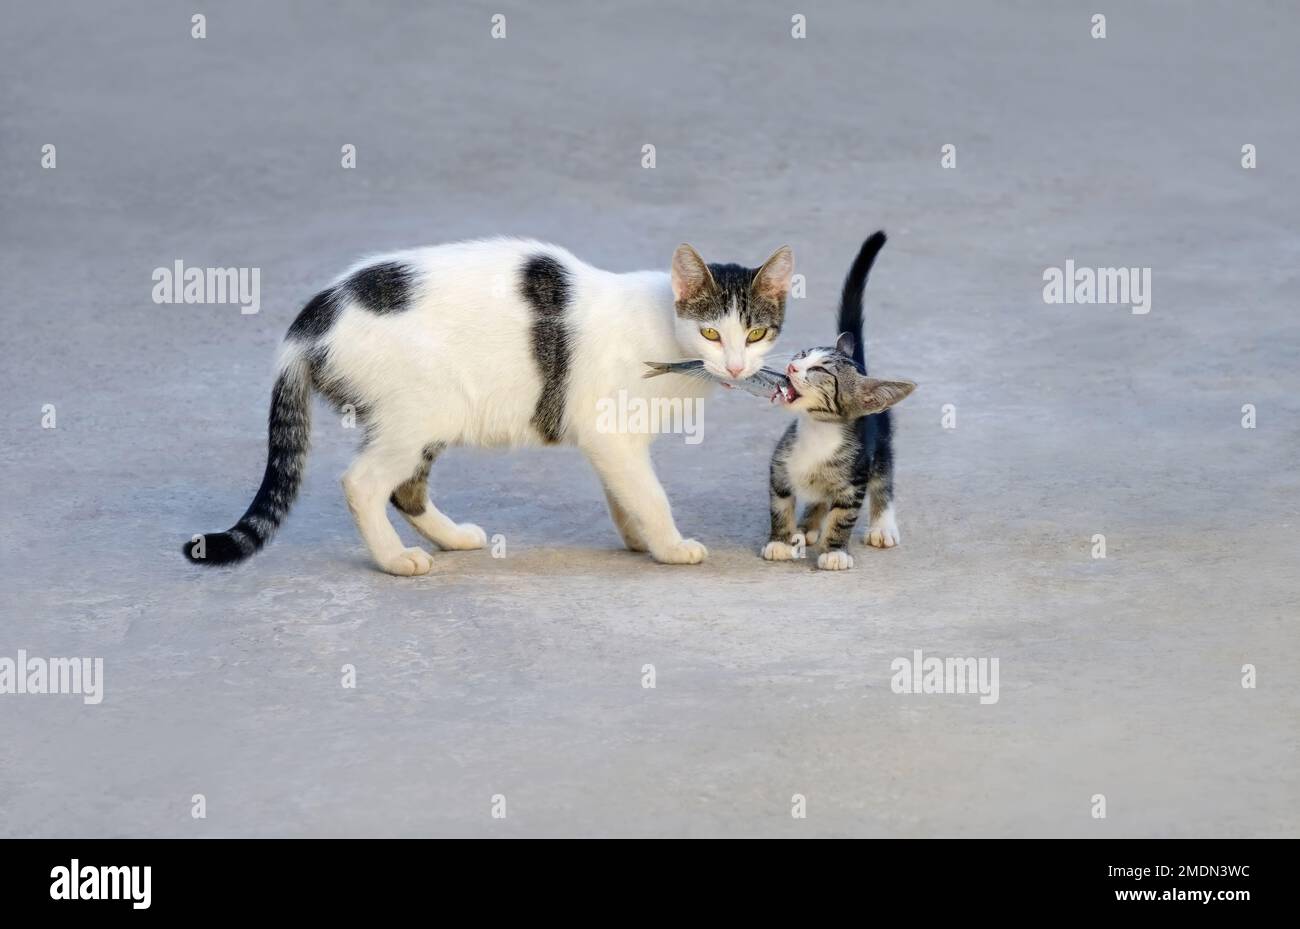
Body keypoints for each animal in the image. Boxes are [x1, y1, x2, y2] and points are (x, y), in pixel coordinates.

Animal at [183, 240, 790, 574]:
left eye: (756, 333)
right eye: (711, 332)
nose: (737, 367)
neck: (665, 328)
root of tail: (311, 321)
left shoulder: (612, 442)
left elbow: (625, 493)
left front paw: (637, 538)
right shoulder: (611, 433)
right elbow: (649, 493)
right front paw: (668, 545)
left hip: (426, 419)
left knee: (406, 489)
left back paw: (452, 538)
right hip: (420, 411)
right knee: (363, 484)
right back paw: (395, 560)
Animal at [759, 232, 915, 571]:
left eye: (819, 370)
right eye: (802, 354)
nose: (792, 367)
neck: (817, 431)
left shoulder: (853, 482)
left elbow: (842, 517)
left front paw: (834, 552)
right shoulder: (779, 468)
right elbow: (779, 504)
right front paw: (780, 540)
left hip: (881, 444)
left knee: (884, 479)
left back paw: (882, 526)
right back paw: (807, 526)